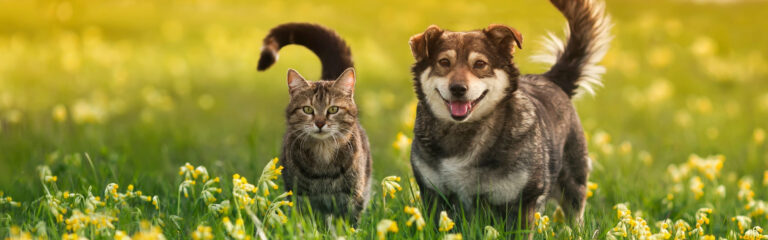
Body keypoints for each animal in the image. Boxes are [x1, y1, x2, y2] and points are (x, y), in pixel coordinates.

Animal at [258, 23, 372, 221]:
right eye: (307, 110)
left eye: (333, 109)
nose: (319, 123)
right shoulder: (300, 197)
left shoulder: (352, 197)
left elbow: (349, 223)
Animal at [408, 0, 612, 233]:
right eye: (444, 62)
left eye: (480, 64)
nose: (458, 89)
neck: (464, 132)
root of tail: (551, 79)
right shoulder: (434, 194)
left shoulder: (522, 200)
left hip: (573, 181)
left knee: (575, 213)